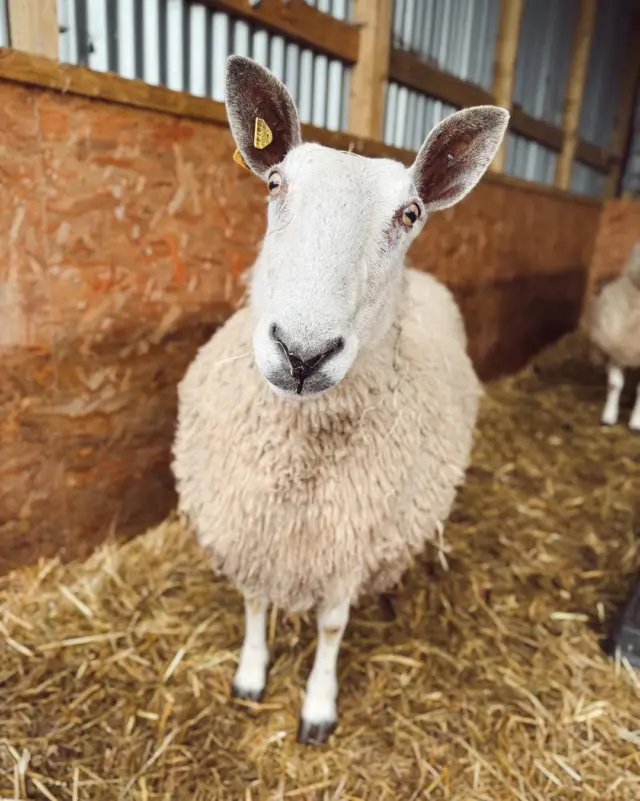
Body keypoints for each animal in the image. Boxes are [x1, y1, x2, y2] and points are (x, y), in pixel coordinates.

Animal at [171, 55, 509, 744]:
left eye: (411, 215)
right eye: (275, 184)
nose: (302, 354)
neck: (302, 464)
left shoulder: (353, 539)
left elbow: (331, 624)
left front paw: (319, 706)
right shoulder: (249, 525)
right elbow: (254, 600)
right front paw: (251, 676)